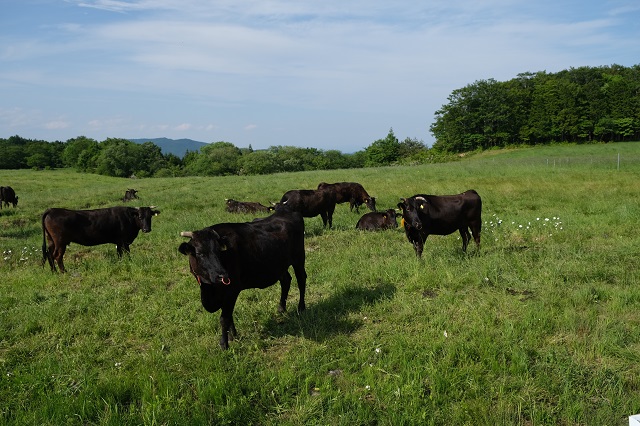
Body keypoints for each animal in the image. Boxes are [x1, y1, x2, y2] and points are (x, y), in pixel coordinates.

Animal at [179, 206, 308, 350]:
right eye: (200, 253)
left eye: (219, 251)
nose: (222, 275)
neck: (210, 289)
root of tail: (289, 212)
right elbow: (229, 316)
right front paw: (233, 335)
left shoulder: (232, 290)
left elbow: (224, 318)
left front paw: (224, 343)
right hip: (279, 265)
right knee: (286, 280)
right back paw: (281, 309)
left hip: (298, 258)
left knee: (301, 279)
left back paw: (301, 308)